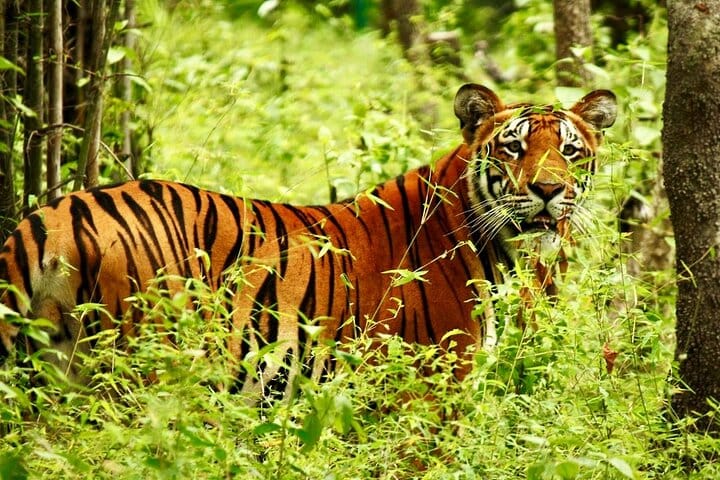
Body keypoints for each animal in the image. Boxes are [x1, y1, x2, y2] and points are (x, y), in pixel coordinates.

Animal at [0, 84, 616, 399]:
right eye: (514, 148)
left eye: (571, 150)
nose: (548, 190)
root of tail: (53, 214)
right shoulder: (431, 390)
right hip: (142, 371)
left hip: (49, 372)